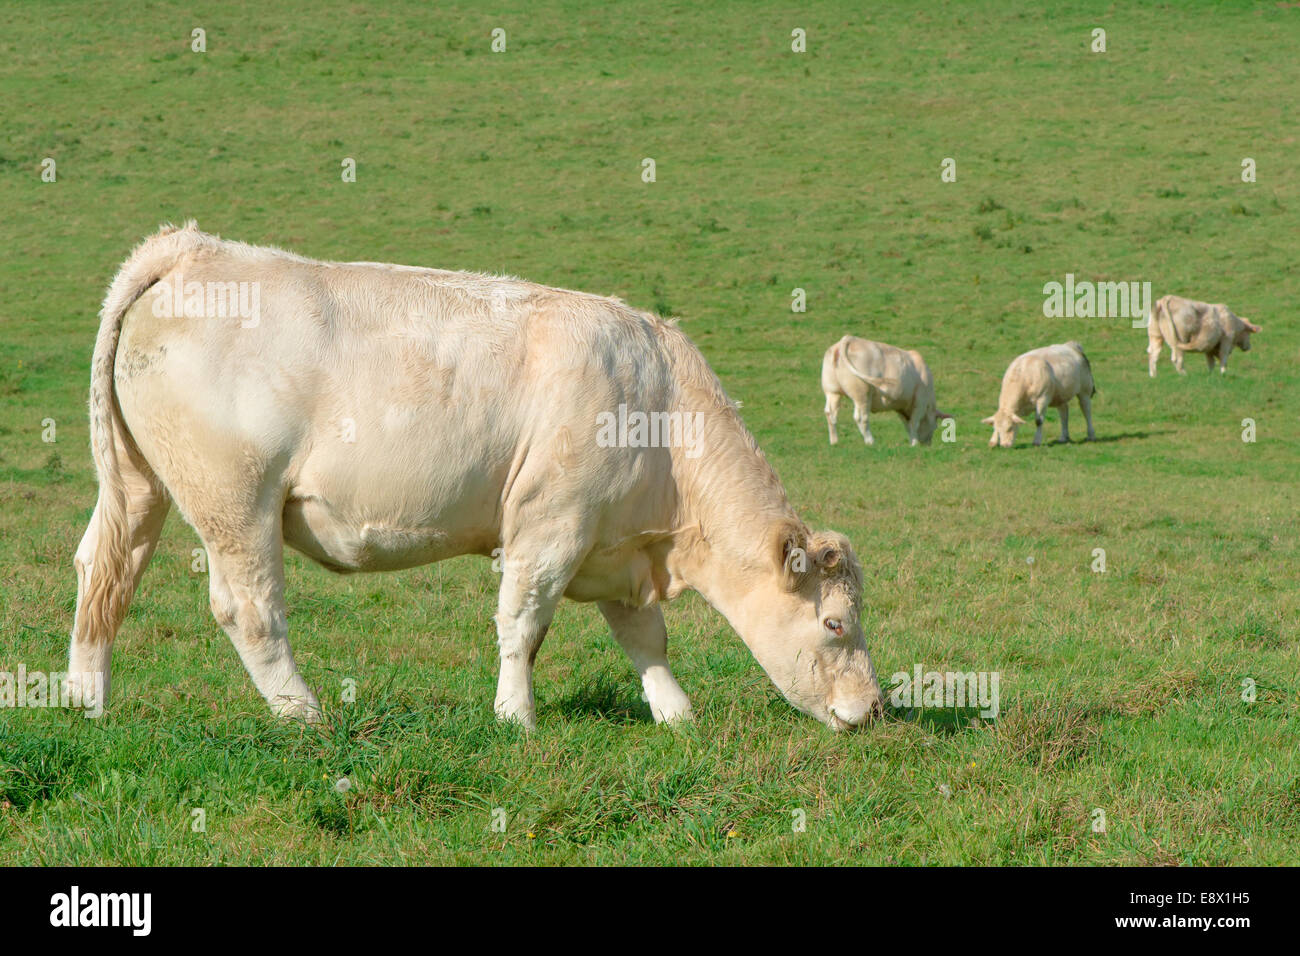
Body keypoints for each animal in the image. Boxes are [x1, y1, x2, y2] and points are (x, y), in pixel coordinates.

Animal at [68, 222, 883, 733]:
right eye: (836, 623)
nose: (873, 708)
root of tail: (193, 249)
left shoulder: (613, 543)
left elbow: (644, 637)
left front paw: (675, 714)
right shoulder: (551, 525)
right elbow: (523, 624)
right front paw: (515, 717)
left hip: (137, 487)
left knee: (105, 573)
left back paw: (86, 703)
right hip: (236, 503)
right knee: (248, 608)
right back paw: (304, 714)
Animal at [821, 335, 956, 447]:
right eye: (935, 426)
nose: (928, 444)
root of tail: (848, 339)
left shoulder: (901, 406)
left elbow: (907, 425)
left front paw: (912, 441)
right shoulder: (919, 402)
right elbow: (914, 423)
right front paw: (914, 443)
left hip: (832, 392)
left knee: (830, 414)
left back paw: (834, 442)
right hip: (862, 394)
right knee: (861, 417)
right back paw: (870, 441)